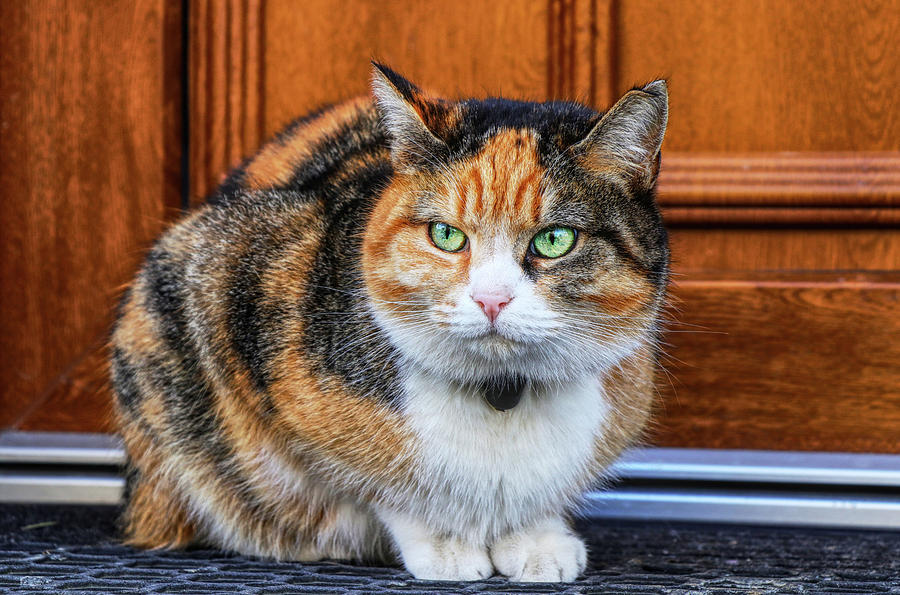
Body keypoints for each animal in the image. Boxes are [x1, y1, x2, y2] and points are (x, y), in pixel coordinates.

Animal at [109, 64, 664, 584]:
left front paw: (536, 541)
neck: (502, 392)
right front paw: (445, 544)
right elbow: (383, 484)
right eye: (446, 235)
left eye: (554, 240)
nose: (491, 299)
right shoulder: (230, 279)